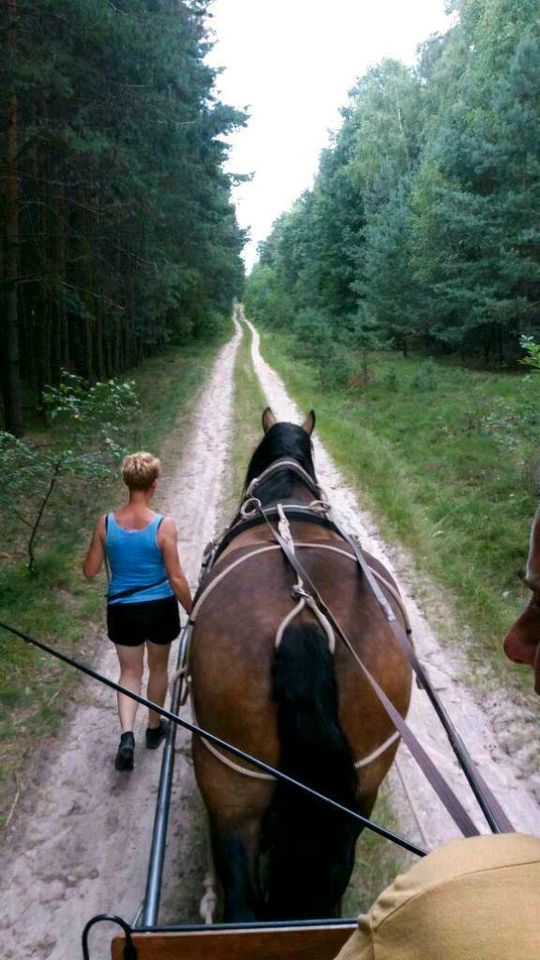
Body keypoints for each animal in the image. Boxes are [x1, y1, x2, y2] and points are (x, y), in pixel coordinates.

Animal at [188, 408, 412, 920]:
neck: (286, 494)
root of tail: (305, 617)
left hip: (231, 782)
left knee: (243, 904)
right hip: (361, 789)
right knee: (332, 881)